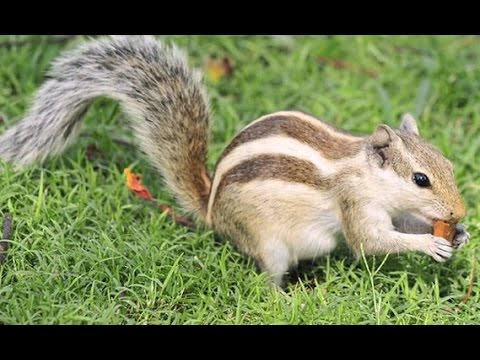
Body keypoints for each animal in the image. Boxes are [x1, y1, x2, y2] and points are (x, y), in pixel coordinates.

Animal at [0, 34, 470, 286]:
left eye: (448, 166)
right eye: (421, 179)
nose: (460, 212)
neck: (363, 172)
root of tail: (210, 209)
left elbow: (402, 224)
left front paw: (458, 235)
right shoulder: (354, 204)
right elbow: (371, 241)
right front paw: (429, 243)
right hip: (266, 239)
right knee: (268, 276)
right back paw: (284, 298)